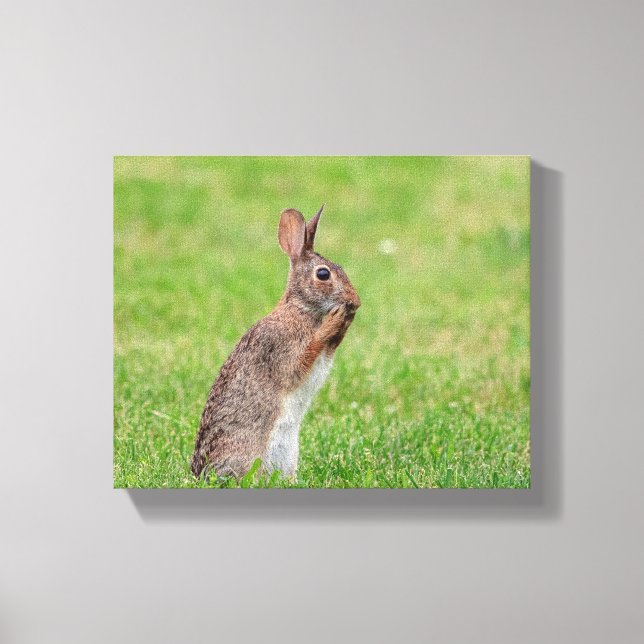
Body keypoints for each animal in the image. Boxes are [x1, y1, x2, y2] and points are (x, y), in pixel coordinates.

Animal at [191, 205, 361, 481]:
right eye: (323, 274)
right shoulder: (281, 349)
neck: (300, 309)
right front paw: (335, 319)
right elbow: (304, 358)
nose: (355, 301)